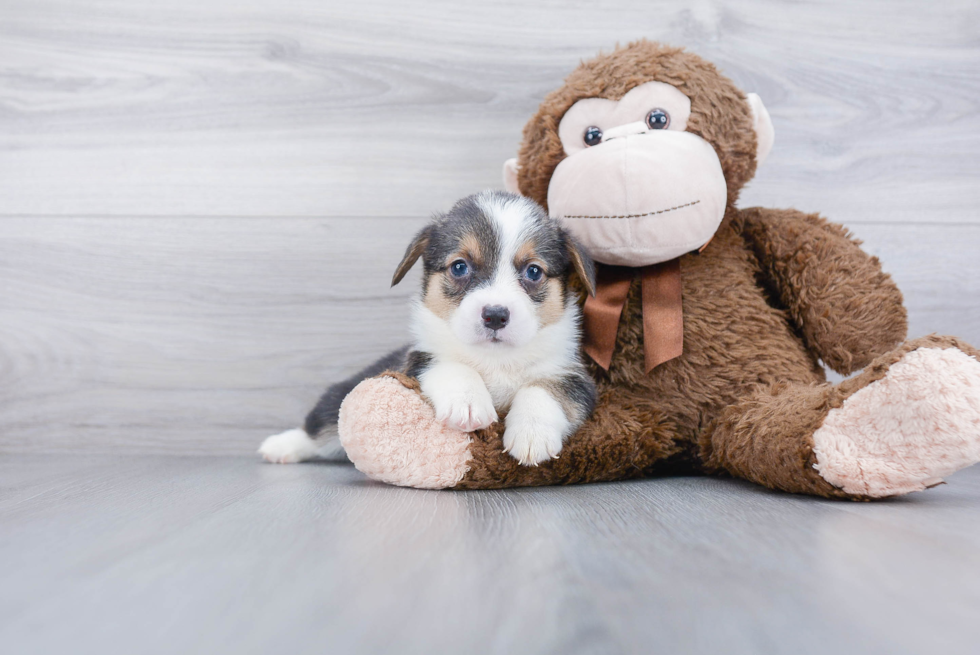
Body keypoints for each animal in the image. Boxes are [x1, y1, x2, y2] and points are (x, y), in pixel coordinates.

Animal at [256, 192, 596, 468]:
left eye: (533, 271)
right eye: (459, 267)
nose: (496, 316)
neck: (494, 359)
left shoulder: (573, 376)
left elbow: (542, 390)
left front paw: (531, 434)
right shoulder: (419, 361)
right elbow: (454, 367)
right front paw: (467, 404)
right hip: (337, 400)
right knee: (320, 429)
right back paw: (280, 446)